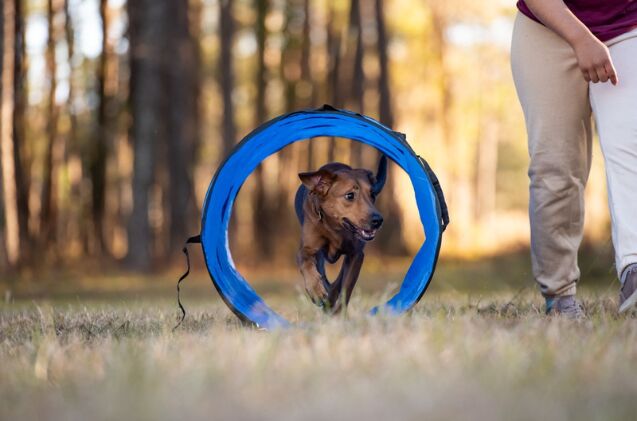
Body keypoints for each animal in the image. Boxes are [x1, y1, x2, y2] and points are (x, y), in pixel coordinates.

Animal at [294, 156, 388, 310]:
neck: (335, 228)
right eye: (350, 195)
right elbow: (306, 263)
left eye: (372, 194)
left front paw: (337, 311)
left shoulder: (356, 254)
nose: (378, 220)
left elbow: (346, 289)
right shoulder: (308, 248)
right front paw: (316, 291)